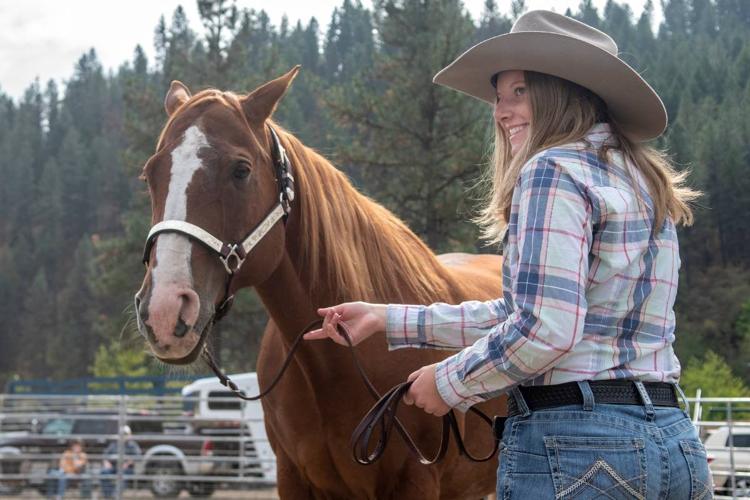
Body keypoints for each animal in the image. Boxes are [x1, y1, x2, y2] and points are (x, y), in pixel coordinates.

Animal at [134, 64, 508, 498]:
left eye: (241, 170)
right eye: (150, 175)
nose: (164, 310)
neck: (336, 365)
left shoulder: (415, 482)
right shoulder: (292, 478)